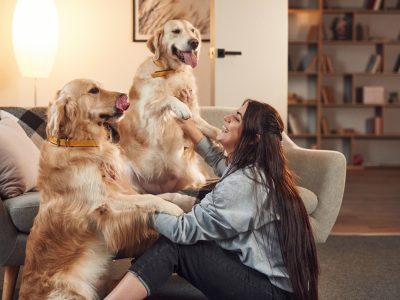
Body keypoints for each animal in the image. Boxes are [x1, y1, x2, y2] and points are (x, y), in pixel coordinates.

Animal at [18, 79, 182, 300]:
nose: (125, 96)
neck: (82, 143)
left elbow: (165, 195)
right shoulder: (104, 203)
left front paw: (187, 201)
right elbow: (150, 198)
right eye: (94, 90)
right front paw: (177, 211)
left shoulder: (124, 190)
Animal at [119, 18, 220, 193]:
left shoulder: (196, 119)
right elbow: (167, 98)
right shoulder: (144, 115)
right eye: (176, 31)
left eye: (193, 31)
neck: (172, 72)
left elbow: (215, 130)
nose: (195, 42)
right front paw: (181, 108)